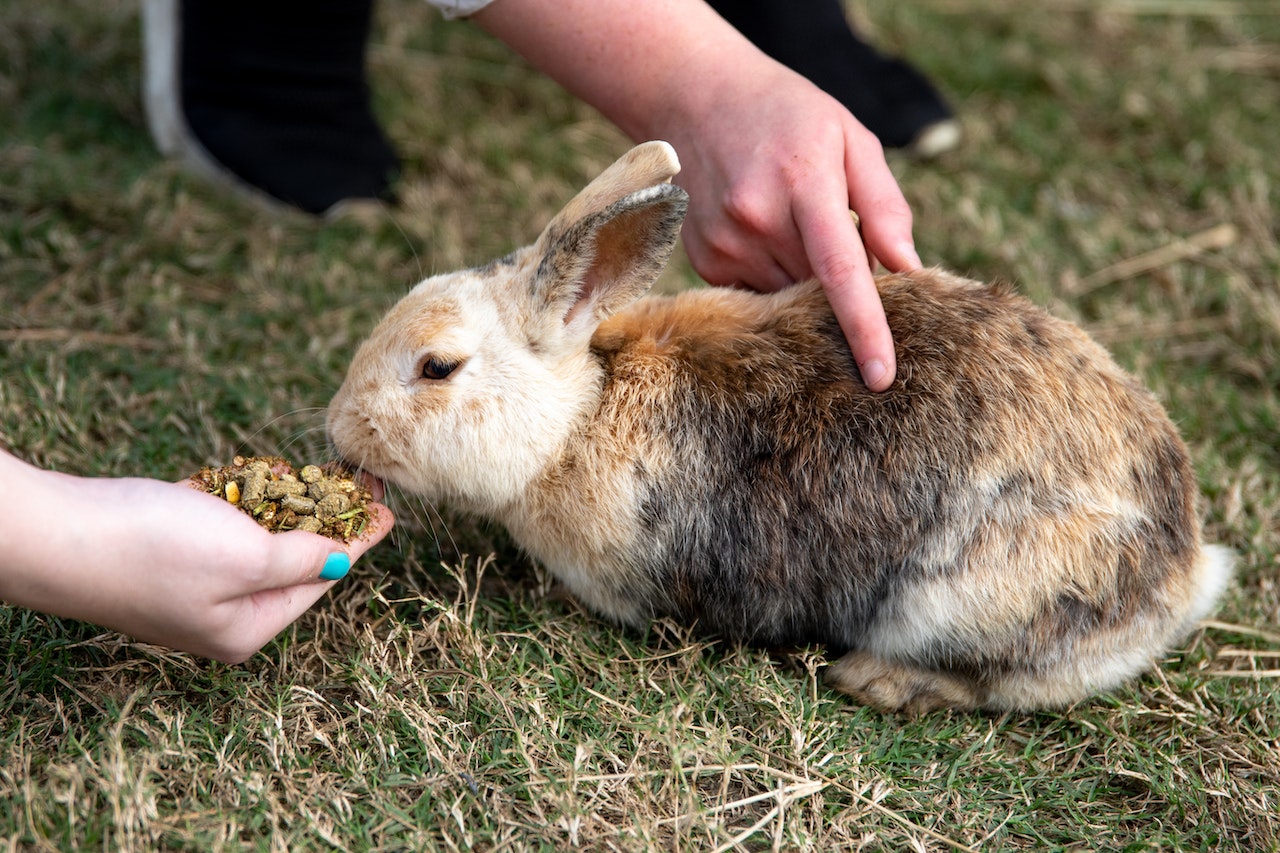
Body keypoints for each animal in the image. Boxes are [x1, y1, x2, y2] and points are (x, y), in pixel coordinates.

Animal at [327, 139, 1228, 712]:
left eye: (437, 368)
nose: (340, 429)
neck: (578, 416)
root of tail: (1186, 566)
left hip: (964, 599)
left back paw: (881, 682)